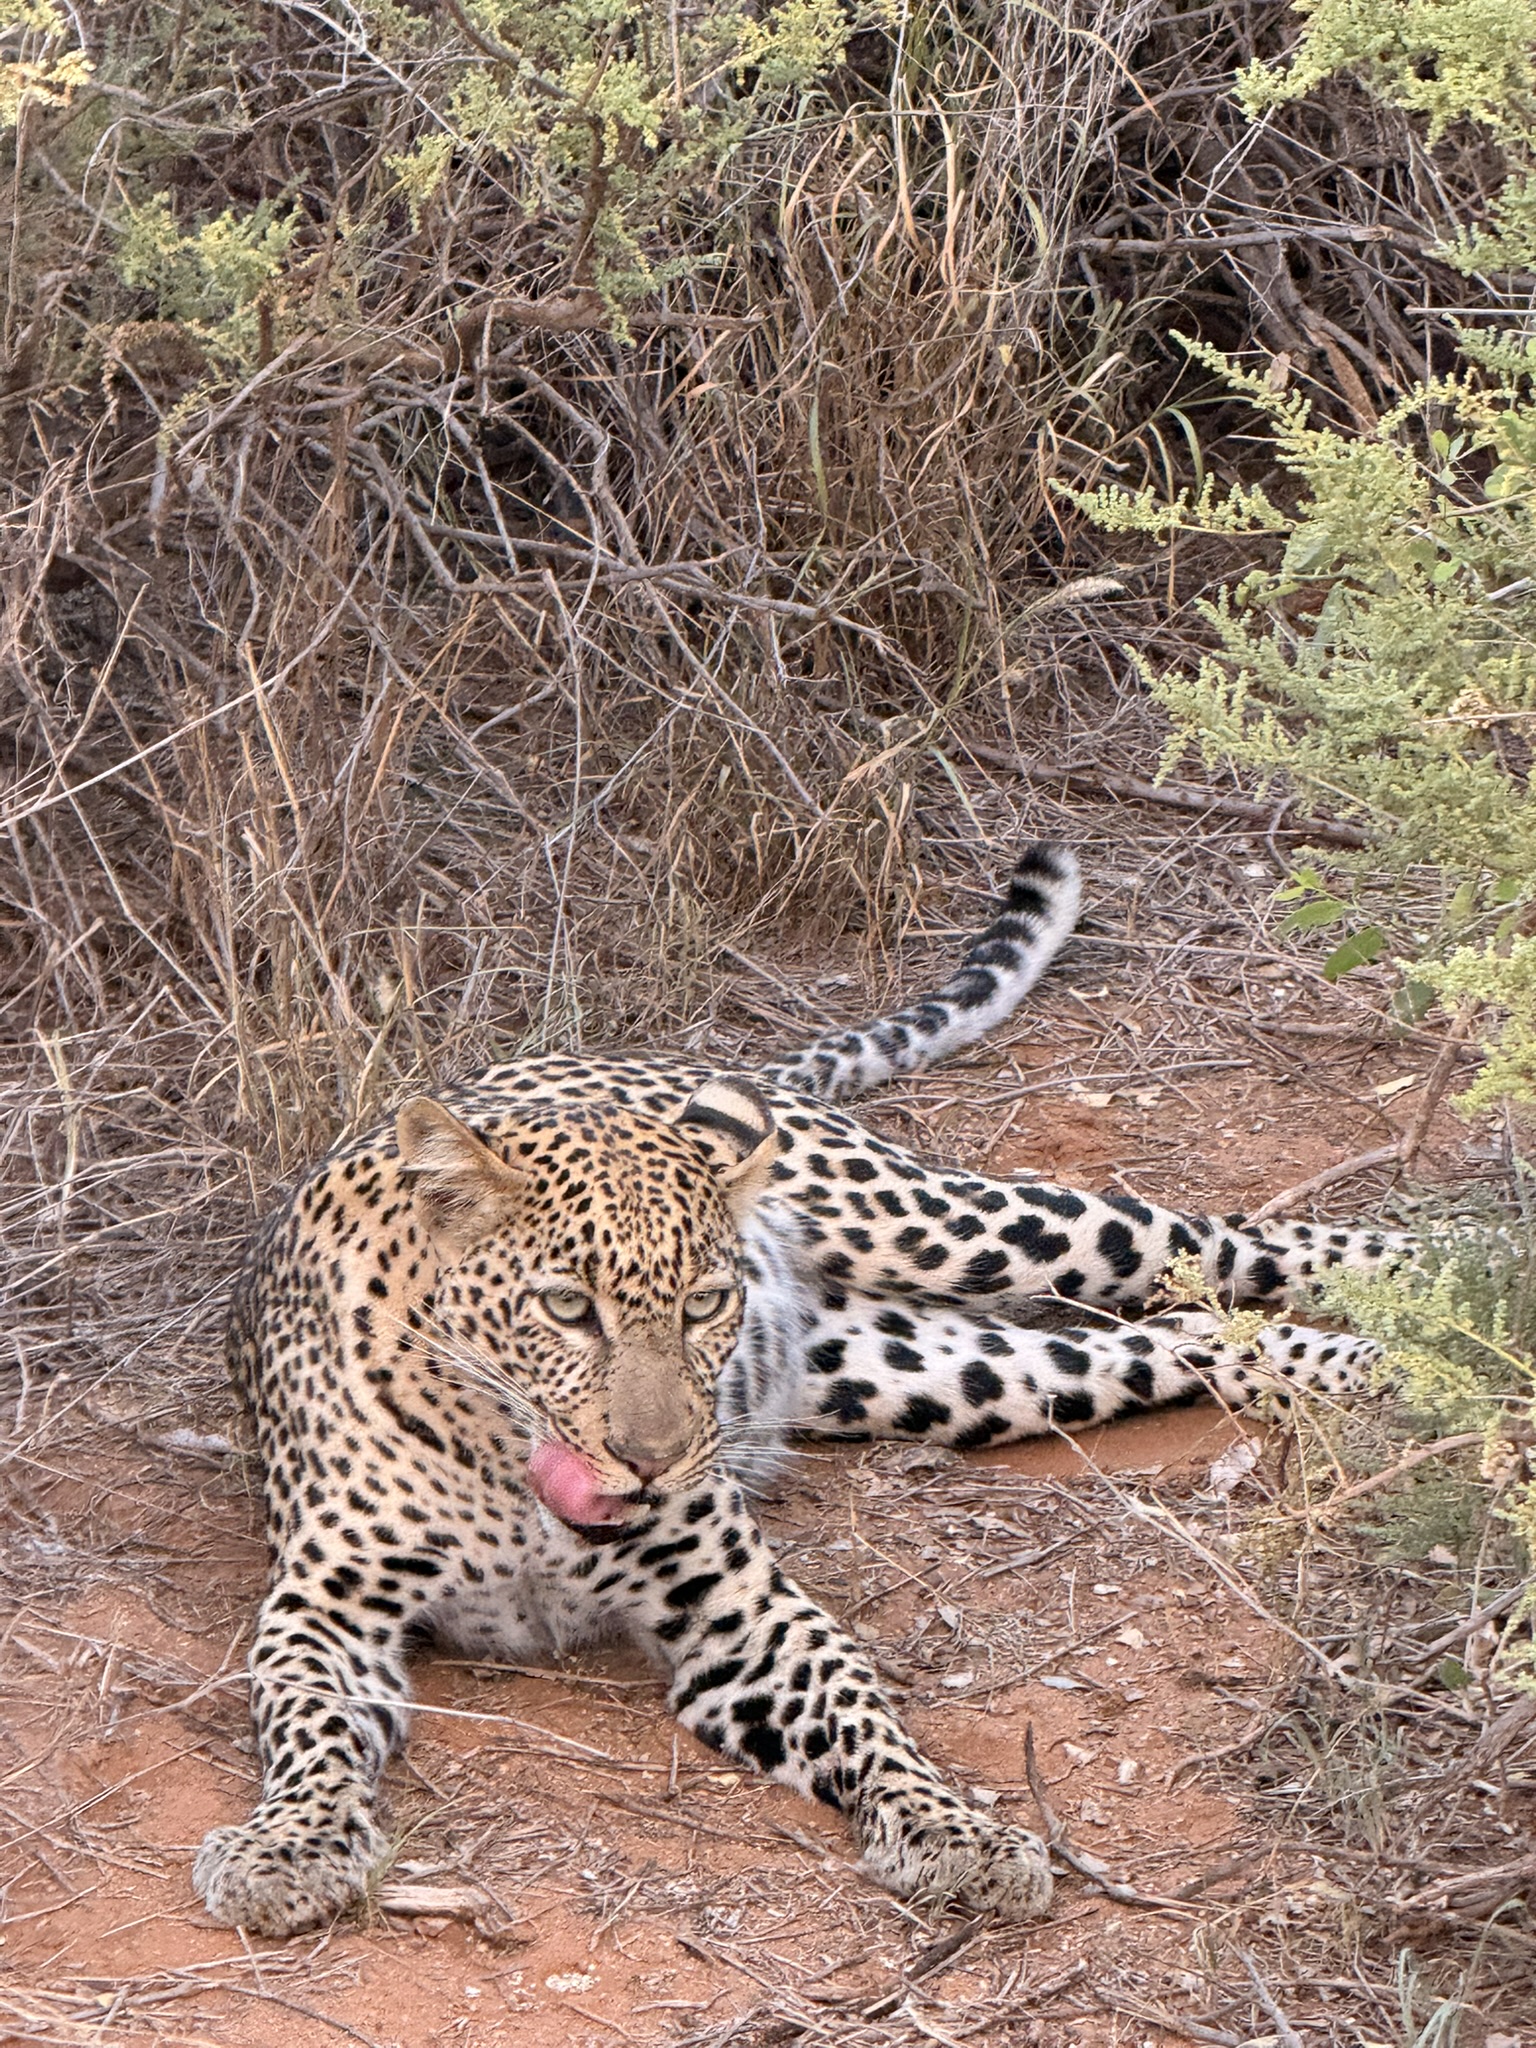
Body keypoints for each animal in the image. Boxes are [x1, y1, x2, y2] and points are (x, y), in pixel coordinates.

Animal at [194, 841, 1401, 1937]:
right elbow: (306, 1726)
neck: (513, 1478)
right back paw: (1369, 1367)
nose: (651, 1459)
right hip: (929, 1370)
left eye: (700, 1303)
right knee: (1177, 1334)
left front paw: (955, 1831)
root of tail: (700, 1070)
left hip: (948, 1226)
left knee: (1195, 1236)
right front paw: (289, 1848)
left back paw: (1424, 1272)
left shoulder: (739, 1609)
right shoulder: (324, 1603)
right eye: (566, 1306)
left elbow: (856, 1707)